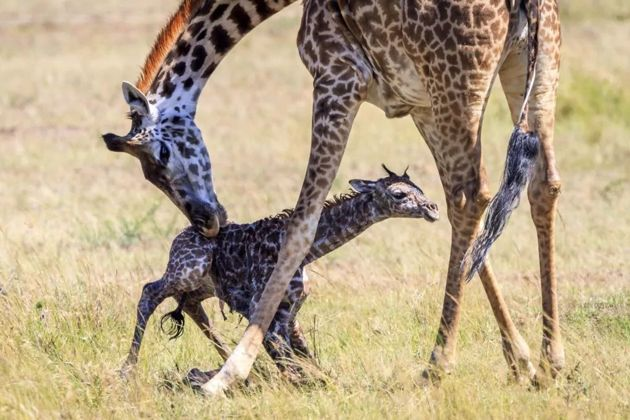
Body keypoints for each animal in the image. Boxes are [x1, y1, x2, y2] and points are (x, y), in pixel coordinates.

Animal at [122, 166, 440, 382]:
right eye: (398, 194)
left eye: (420, 188)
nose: (433, 209)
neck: (304, 253)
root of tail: (179, 237)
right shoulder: (262, 310)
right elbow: (293, 368)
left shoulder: (290, 312)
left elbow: (308, 362)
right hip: (187, 269)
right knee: (149, 292)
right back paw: (128, 369)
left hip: (205, 285)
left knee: (190, 305)